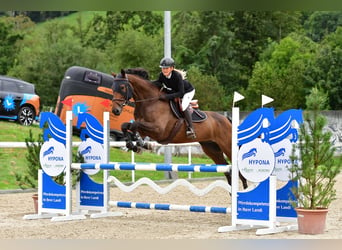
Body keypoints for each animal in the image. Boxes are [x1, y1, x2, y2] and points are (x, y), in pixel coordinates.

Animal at [111, 67, 247, 188]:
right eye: (113, 88)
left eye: (122, 87)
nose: (115, 111)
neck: (150, 102)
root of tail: (227, 119)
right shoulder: (145, 129)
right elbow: (126, 126)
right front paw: (134, 145)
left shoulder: (158, 130)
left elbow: (134, 125)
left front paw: (139, 144)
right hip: (211, 148)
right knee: (227, 169)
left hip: (227, 146)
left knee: (238, 170)